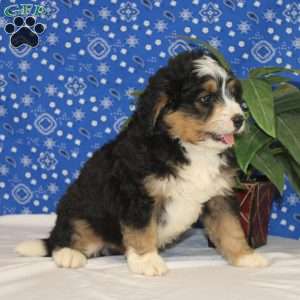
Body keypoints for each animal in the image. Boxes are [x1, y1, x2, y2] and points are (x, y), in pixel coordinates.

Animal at [16, 49, 270, 276]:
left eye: (234, 96)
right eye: (205, 99)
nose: (239, 119)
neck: (188, 147)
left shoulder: (219, 195)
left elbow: (231, 228)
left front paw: (245, 256)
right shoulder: (138, 195)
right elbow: (141, 231)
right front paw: (147, 261)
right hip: (78, 211)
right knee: (64, 236)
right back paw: (69, 254)